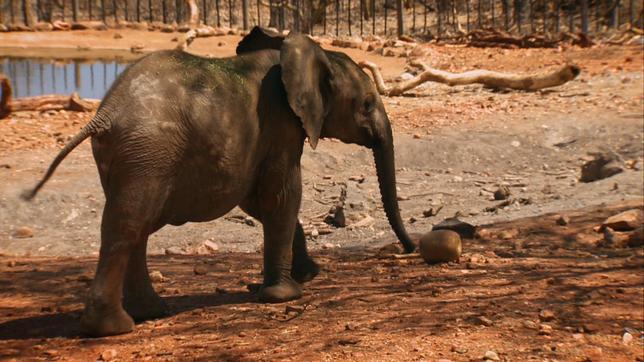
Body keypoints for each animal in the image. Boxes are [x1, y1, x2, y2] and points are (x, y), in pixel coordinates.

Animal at [22, 26, 416, 338]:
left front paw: (307, 276)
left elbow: (260, 201)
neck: (306, 52)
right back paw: (113, 328)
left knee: (133, 225)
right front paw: (288, 295)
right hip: (148, 152)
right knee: (129, 225)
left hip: (126, 156)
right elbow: (282, 195)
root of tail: (104, 114)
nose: (410, 249)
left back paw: (151, 312)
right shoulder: (281, 125)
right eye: (367, 104)